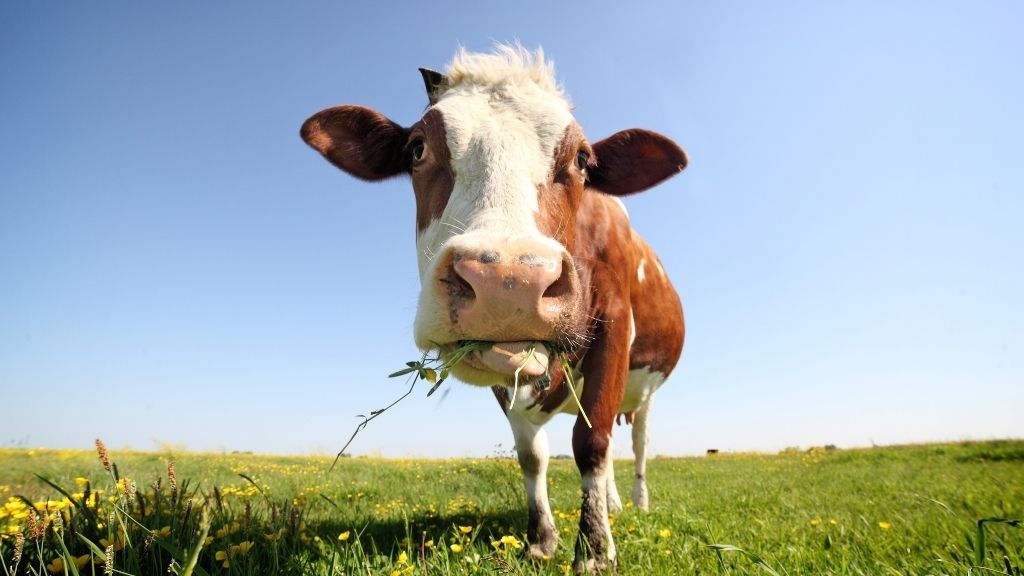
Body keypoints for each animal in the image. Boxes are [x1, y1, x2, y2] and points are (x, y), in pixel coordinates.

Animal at [303, 44, 688, 569]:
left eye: (583, 159)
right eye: (417, 148)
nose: (509, 282)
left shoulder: (614, 324)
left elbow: (591, 442)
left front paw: (593, 550)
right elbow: (532, 454)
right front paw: (542, 540)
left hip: (646, 391)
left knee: (635, 442)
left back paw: (636, 503)